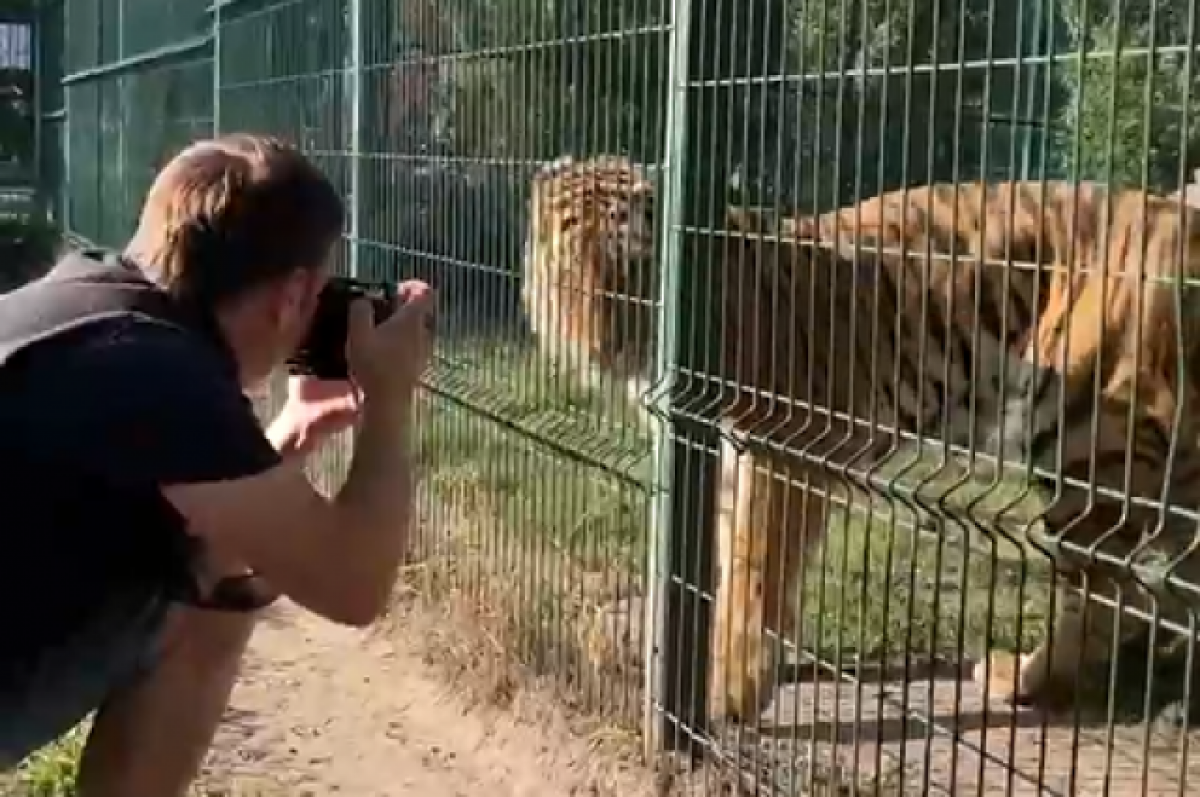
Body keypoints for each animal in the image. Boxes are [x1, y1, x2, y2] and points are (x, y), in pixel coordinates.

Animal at [520, 153, 1200, 720]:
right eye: (568, 274)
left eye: (632, 275)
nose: (598, 346)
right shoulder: (726, 461)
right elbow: (725, 567)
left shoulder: (779, 451)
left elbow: (753, 572)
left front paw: (730, 692)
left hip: (1091, 446)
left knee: (1111, 596)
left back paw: (1021, 679)